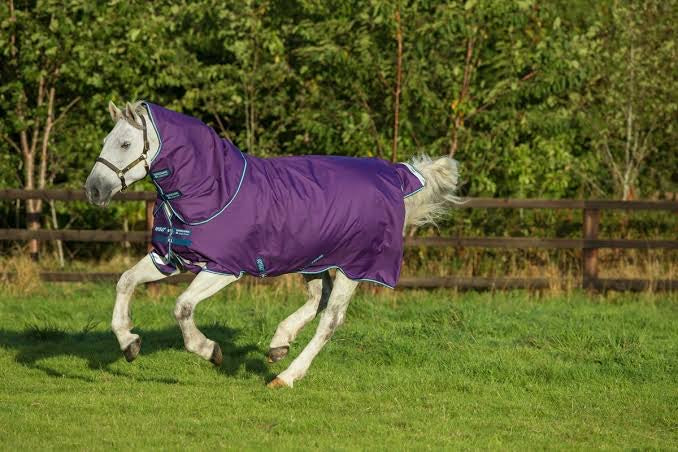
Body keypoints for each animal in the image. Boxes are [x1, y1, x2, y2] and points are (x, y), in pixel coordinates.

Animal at [85, 100, 460, 388]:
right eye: (105, 140)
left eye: (124, 144)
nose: (94, 190)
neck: (212, 188)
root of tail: (394, 177)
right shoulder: (170, 258)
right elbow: (125, 281)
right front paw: (129, 343)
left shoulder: (225, 268)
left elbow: (183, 307)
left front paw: (209, 351)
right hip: (314, 259)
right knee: (318, 298)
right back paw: (279, 344)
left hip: (354, 267)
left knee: (331, 320)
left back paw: (286, 376)